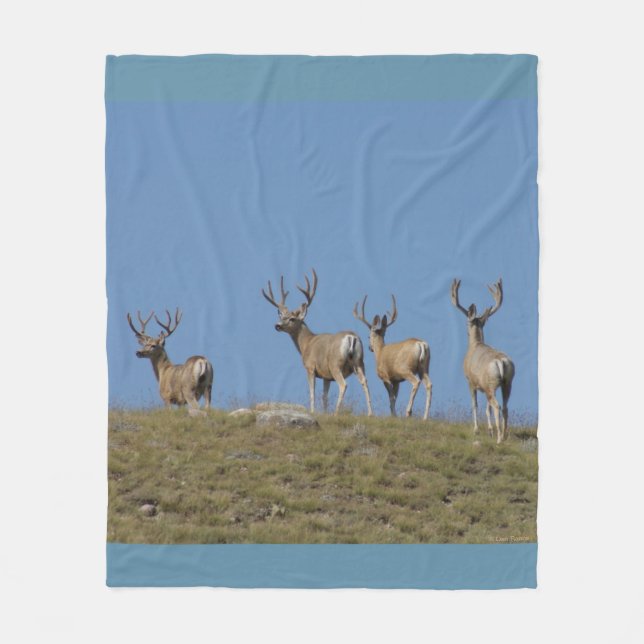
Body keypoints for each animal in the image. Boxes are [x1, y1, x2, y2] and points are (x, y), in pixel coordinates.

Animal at [261, 269, 373, 416]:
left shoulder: (310, 367)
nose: (277, 325)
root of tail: (351, 337)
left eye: (292, 318)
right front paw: (324, 413)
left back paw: (336, 412)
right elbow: (324, 396)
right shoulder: (326, 376)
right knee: (365, 381)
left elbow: (312, 393)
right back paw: (370, 413)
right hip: (359, 362)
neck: (306, 344)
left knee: (343, 385)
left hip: (335, 363)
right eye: (282, 316)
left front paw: (313, 411)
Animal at [450, 278, 515, 443]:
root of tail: (501, 361)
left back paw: (499, 439)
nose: (466, 330)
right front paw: (490, 430)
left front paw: (477, 430)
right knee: (504, 407)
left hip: (491, 383)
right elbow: (487, 408)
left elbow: (475, 404)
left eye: (466, 323)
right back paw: (504, 435)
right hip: (506, 383)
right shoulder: (484, 386)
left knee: (497, 406)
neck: (475, 345)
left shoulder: (470, 380)